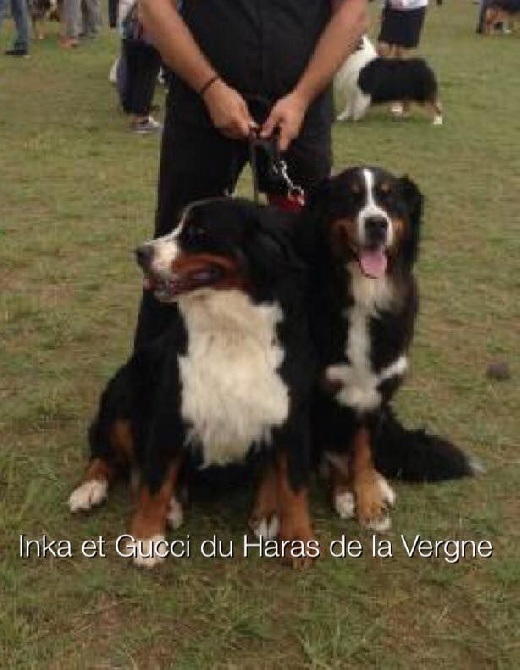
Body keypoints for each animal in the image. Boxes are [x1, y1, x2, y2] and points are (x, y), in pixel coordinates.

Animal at [69, 197, 316, 568]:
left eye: (198, 232)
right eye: (176, 226)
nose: (141, 253)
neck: (231, 332)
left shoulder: (288, 416)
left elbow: (292, 484)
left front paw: (296, 536)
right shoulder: (171, 414)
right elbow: (155, 483)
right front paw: (146, 538)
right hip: (125, 389)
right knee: (112, 455)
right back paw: (91, 490)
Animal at [288, 167, 480, 532]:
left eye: (390, 199)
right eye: (350, 198)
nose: (377, 223)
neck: (364, 294)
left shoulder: (376, 390)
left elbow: (363, 451)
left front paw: (369, 497)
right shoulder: (317, 394)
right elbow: (329, 455)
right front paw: (345, 495)